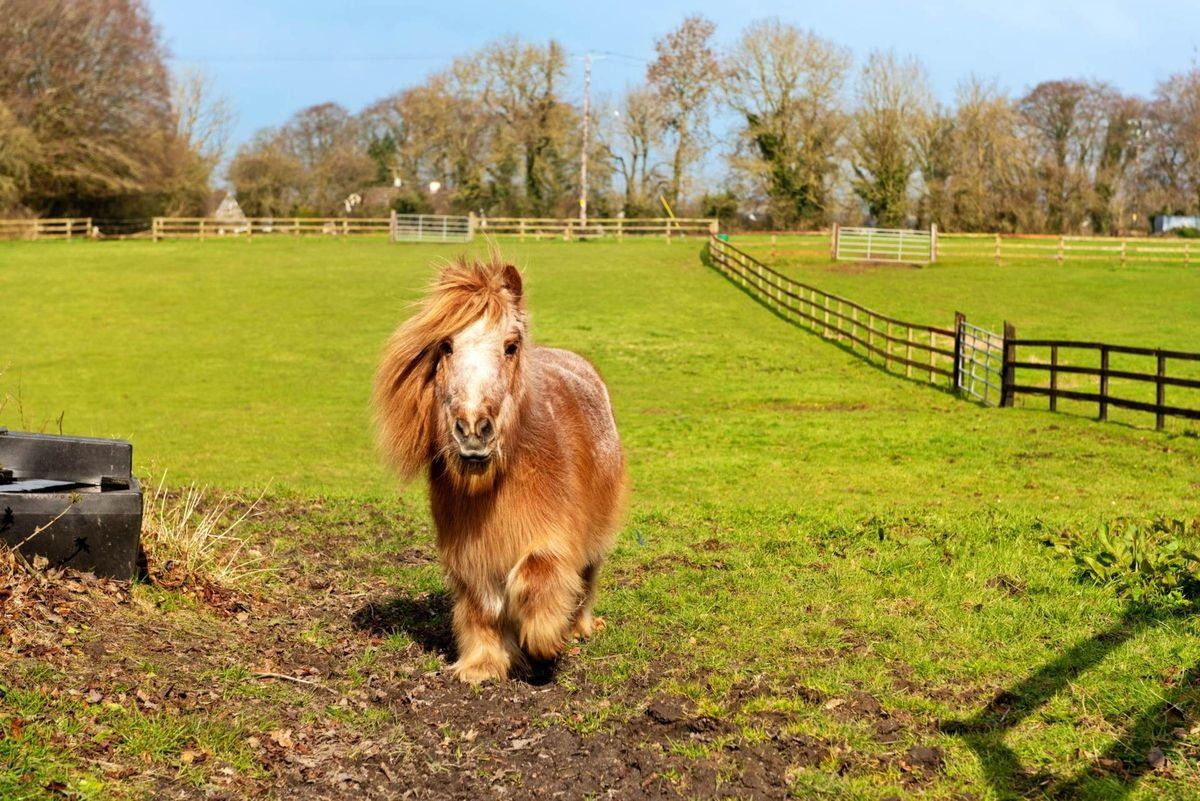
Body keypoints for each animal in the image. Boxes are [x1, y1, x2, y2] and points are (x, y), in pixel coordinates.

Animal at [369, 255, 624, 681]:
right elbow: (482, 607)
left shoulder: (554, 534)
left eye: (510, 346)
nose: (473, 429)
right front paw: (483, 665)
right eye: (446, 345)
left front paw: (544, 639)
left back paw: (578, 627)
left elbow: (535, 575)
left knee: (587, 578)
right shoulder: (472, 554)